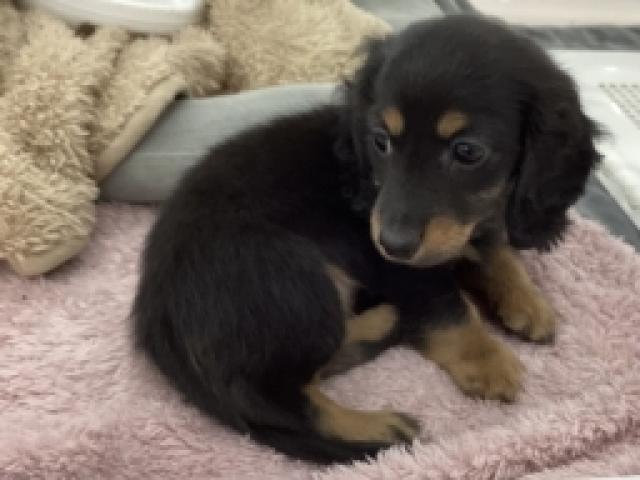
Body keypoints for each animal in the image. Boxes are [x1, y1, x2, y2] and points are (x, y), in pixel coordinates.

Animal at [133, 15, 600, 464]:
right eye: (381, 141)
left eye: (467, 151)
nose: (392, 243)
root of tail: (157, 314)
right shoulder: (404, 270)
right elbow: (451, 308)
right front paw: (486, 360)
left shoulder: (465, 227)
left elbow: (494, 250)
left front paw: (527, 299)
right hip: (296, 278)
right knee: (279, 399)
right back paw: (381, 421)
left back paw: (383, 322)